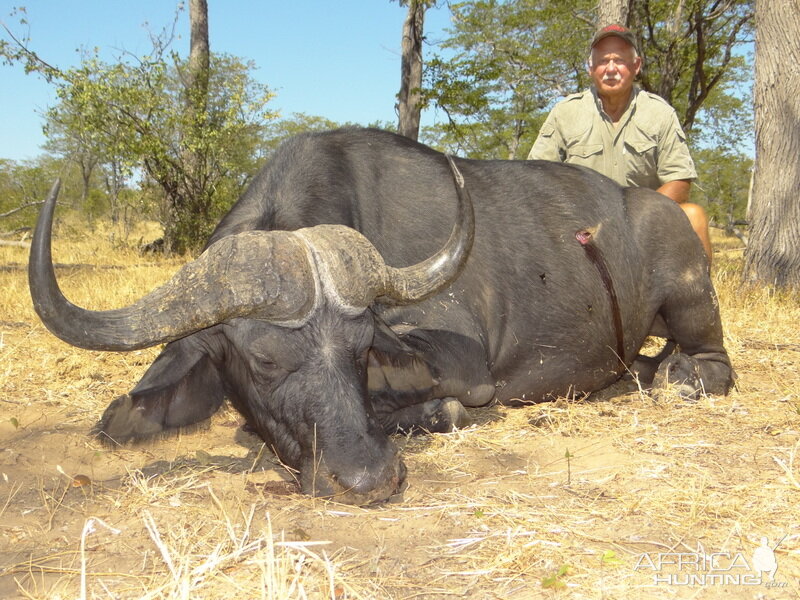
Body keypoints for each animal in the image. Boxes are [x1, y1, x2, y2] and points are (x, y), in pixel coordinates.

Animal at [29, 127, 732, 506]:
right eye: (262, 361)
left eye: (360, 348)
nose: (370, 479)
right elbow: (123, 421)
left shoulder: (468, 367)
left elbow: (440, 401)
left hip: (690, 294)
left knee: (713, 365)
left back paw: (680, 377)